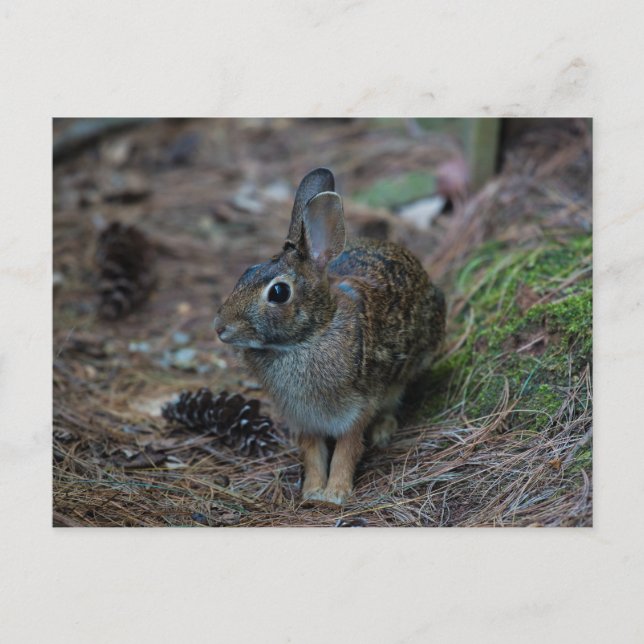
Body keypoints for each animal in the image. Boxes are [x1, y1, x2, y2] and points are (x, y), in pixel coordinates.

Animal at [214, 168, 445, 504]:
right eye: (247, 271)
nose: (220, 327)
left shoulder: (357, 408)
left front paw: (336, 493)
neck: (310, 336)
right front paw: (312, 491)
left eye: (279, 292)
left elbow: (346, 450)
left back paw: (382, 431)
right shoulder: (303, 419)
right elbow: (313, 453)